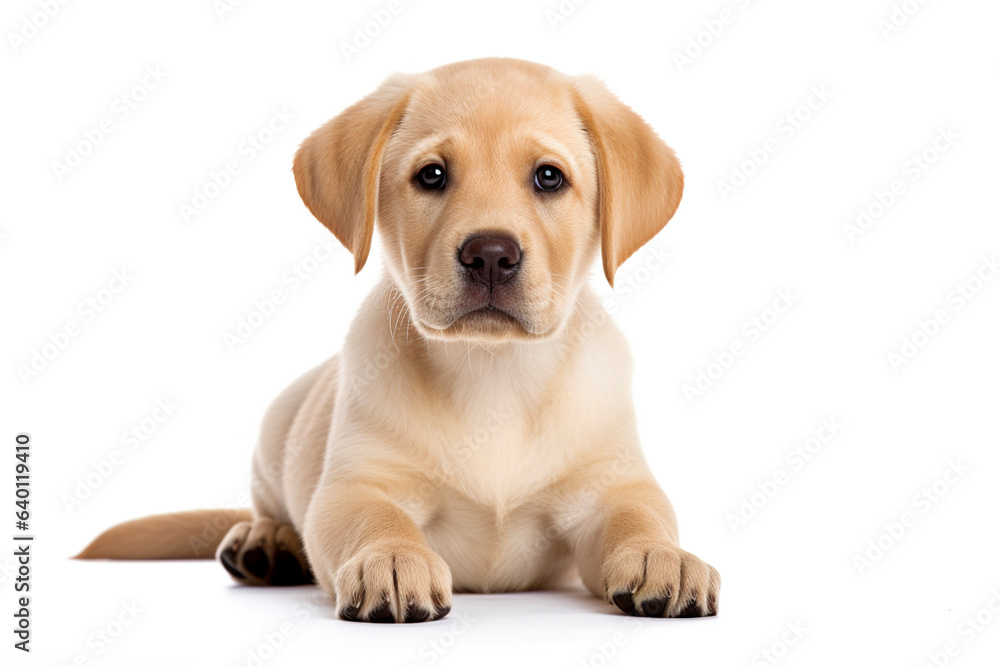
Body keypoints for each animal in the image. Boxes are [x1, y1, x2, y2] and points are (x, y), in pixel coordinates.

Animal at [78, 54, 720, 624]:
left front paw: (663, 556)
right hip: (275, 428)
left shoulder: (610, 482)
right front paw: (390, 559)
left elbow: (640, 514)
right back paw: (266, 540)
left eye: (549, 177)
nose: (491, 254)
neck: (493, 371)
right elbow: (373, 519)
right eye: (431, 175)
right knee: (269, 506)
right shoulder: (357, 482)